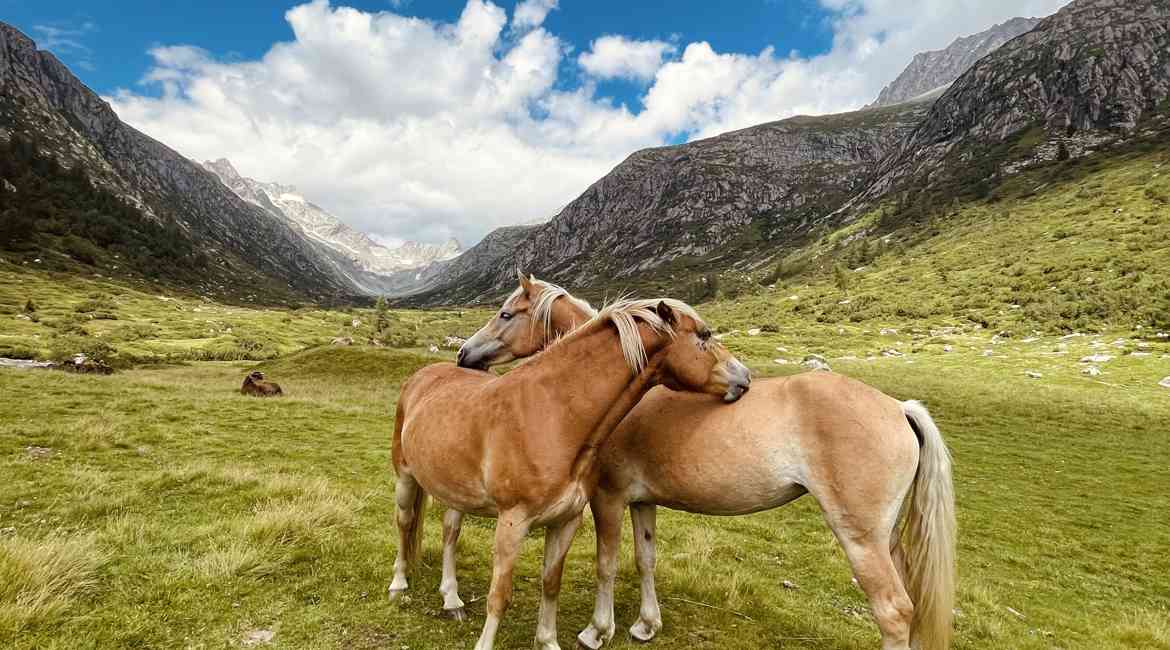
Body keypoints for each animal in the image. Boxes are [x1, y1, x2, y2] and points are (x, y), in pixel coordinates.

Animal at [390, 284, 748, 650]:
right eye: (704, 334)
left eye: (506, 314)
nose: (744, 377)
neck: (555, 415)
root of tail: (423, 375)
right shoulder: (513, 522)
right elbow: (500, 594)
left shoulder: (566, 520)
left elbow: (551, 583)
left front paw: (548, 640)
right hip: (405, 476)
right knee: (404, 522)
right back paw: (399, 585)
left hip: (454, 491)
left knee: (450, 532)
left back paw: (451, 599)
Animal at [456, 277, 959, 650]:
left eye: (505, 314)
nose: (464, 354)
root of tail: (899, 408)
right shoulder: (643, 501)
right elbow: (644, 560)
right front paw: (645, 625)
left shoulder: (608, 499)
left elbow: (607, 563)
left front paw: (598, 631)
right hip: (886, 539)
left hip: (860, 538)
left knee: (894, 610)